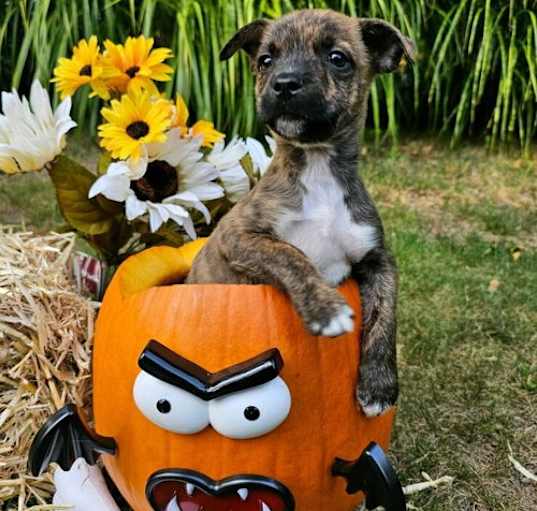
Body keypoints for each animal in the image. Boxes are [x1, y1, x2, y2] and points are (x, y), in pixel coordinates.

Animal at [187, 9, 414, 420]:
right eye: (265, 60)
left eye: (338, 58)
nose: (285, 83)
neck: (318, 167)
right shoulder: (237, 236)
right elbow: (290, 254)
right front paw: (327, 309)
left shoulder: (377, 256)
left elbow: (386, 312)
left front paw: (378, 385)